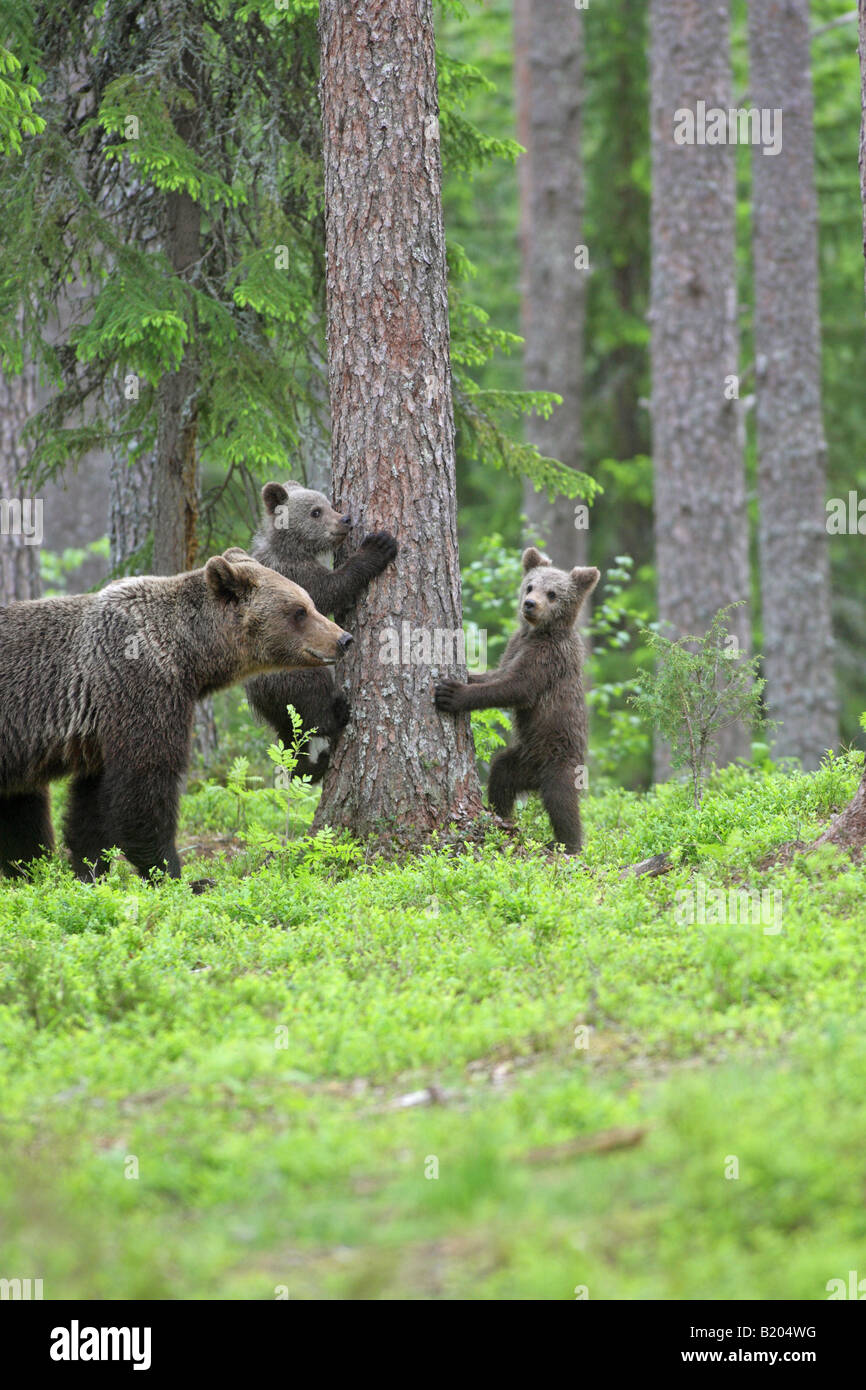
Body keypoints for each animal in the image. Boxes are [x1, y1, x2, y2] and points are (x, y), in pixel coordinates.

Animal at [0, 548, 352, 884]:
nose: (343, 639)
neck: (189, 657)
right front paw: (179, 875)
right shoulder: (140, 687)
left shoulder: (101, 727)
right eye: (299, 611)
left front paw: (89, 871)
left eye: (309, 603)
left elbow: (92, 805)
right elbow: (143, 784)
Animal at [246, 480, 398, 780]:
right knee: (313, 694)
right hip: (289, 670)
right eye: (316, 511)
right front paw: (378, 546)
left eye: (329, 504)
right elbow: (333, 587)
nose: (346, 519)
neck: (294, 548)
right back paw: (337, 715)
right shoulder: (295, 578)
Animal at [434, 547, 600, 854]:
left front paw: (452, 693)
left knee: (562, 802)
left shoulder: (547, 658)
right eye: (530, 585)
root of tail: (535, 779)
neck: (537, 632)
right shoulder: (515, 646)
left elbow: (516, 688)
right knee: (501, 774)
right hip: (523, 760)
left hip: (559, 759)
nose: (530, 604)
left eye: (553, 594)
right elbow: (497, 675)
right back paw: (501, 814)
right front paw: (468, 676)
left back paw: (568, 845)